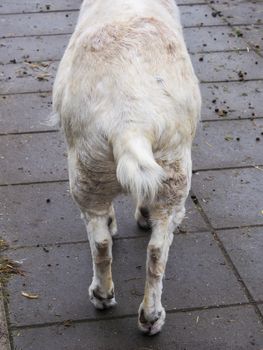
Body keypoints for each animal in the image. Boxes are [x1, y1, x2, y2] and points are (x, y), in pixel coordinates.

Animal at [53, 0, 202, 334]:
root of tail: (129, 123)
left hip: (87, 171)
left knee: (101, 239)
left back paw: (105, 296)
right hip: (171, 171)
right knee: (155, 249)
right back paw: (149, 316)